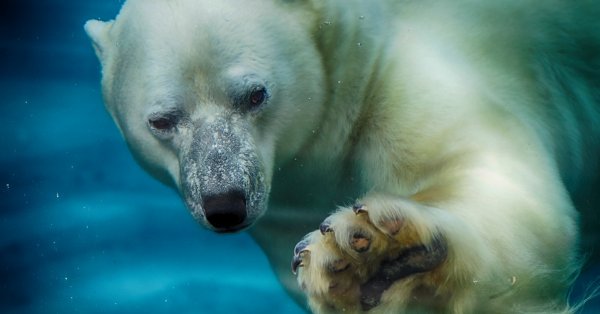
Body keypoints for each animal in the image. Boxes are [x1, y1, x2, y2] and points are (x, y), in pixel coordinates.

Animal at [84, 0, 600, 312]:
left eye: (255, 95)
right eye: (162, 120)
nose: (224, 204)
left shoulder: (413, 71)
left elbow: (499, 181)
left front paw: (377, 251)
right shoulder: (288, 203)